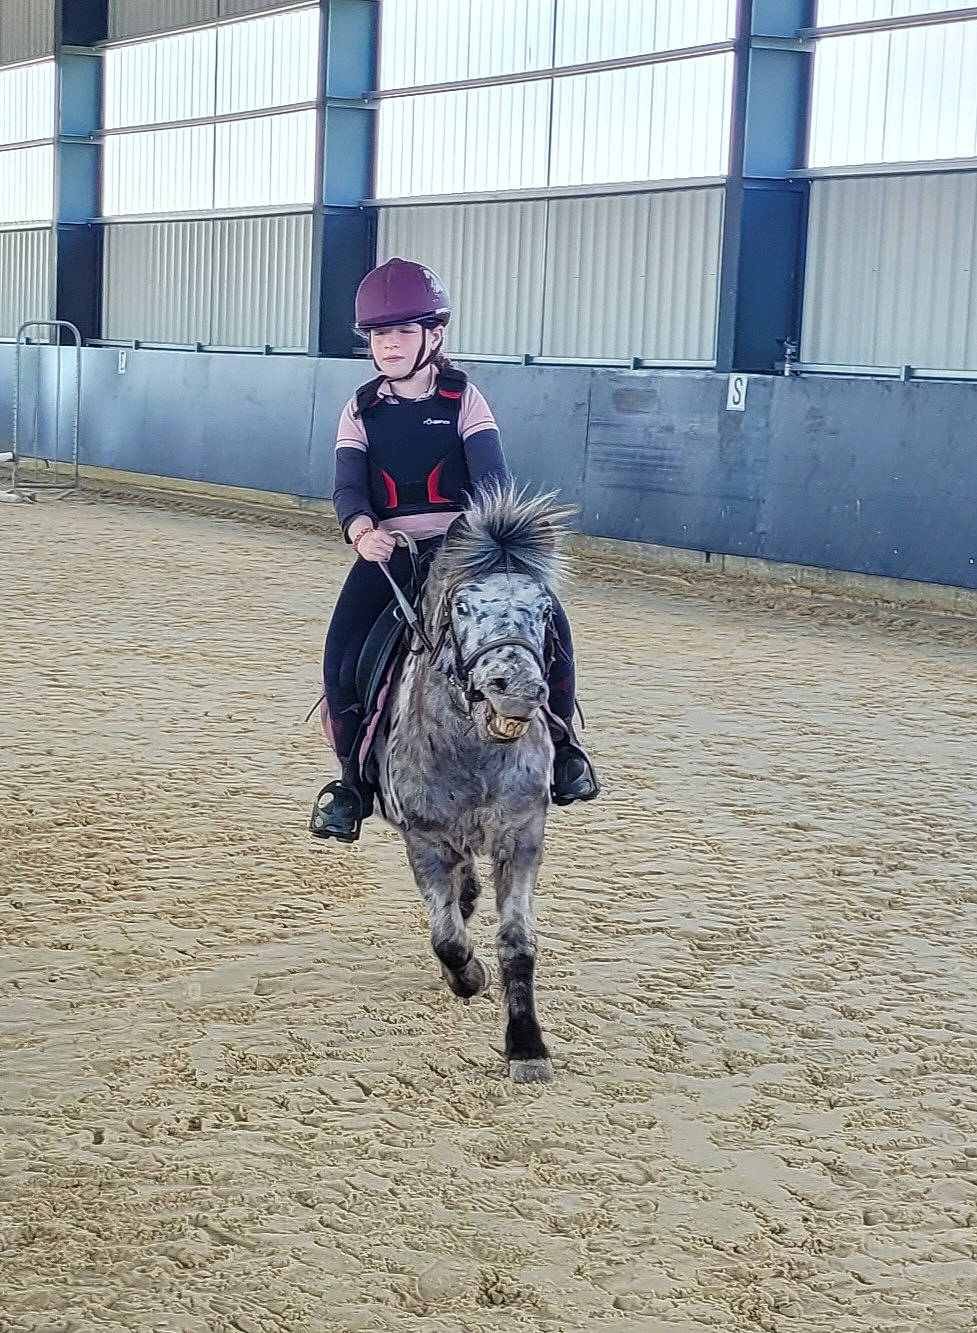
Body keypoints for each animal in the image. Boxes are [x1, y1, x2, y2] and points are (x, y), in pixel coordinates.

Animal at [371, 483, 575, 1083]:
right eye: (461, 606)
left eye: (544, 610)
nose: (518, 691)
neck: (477, 756)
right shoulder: (424, 839)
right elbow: (446, 940)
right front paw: (469, 977)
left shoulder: (523, 837)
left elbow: (517, 942)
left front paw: (527, 1046)